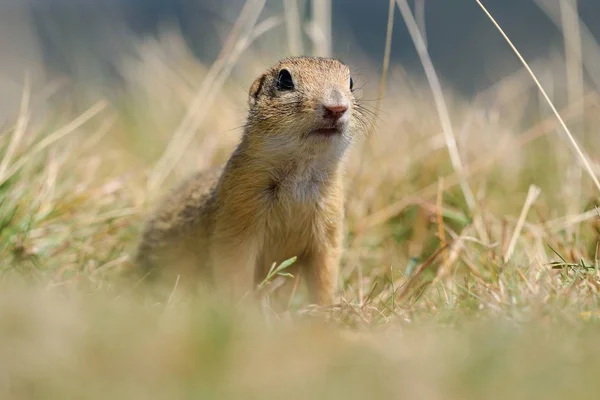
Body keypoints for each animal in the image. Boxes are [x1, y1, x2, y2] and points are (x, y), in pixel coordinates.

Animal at [135, 55, 364, 306]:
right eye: (284, 80)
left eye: (351, 82)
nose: (336, 107)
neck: (300, 173)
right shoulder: (239, 214)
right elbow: (235, 268)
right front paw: (242, 307)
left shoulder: (330, 223)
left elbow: (325, 272)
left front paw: (326, 307)